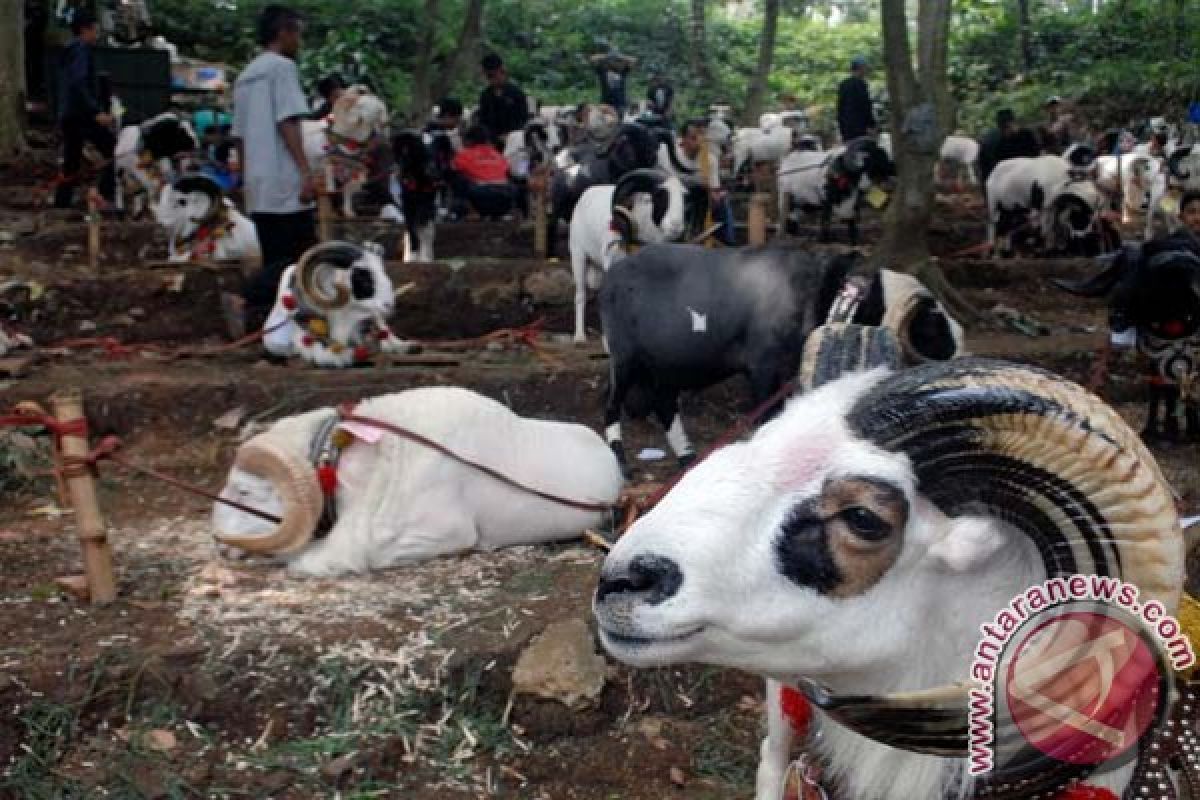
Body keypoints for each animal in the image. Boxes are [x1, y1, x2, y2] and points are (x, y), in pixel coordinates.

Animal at [600, 244, 964, 470]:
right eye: (932, 329)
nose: (962, 361)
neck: (824, 296)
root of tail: (612, 274)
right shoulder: (764, 367)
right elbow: (767, 415)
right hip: (625, 357)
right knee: (611, 404)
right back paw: (621, 461)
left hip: (666, 367)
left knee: (664, 405)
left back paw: (687, 458)